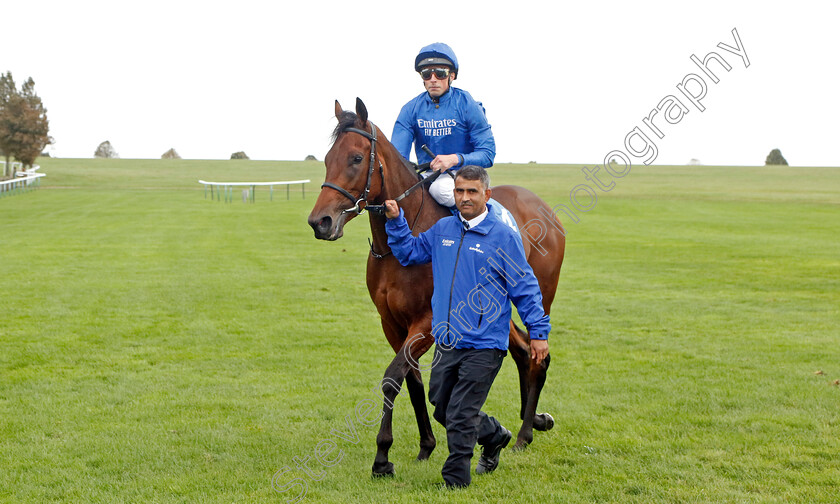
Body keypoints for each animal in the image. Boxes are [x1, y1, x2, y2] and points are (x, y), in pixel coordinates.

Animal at [308, 98, 564, 476]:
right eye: (327, 159)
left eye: (355, 158)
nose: (320, 222)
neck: (398, 247)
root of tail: (543, 206)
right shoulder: (392, 324)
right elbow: (411, 380)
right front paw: (425, 446)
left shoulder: (430, 322)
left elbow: (392, 377)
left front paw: (382, 456)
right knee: (520, 350)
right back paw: (526, 427)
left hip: (539, 295)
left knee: (537, 353)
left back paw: (524, 433)